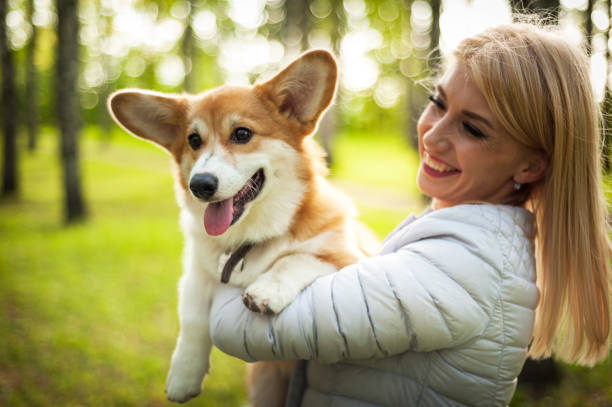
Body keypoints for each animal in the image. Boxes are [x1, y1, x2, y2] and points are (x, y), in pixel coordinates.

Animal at [109, 49, 378, 406]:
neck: (247, 238)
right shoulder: (196, 273)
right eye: (193, 140)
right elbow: (193, 319)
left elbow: (296, 258)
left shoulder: (350, 256)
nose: (200, 185)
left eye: (242, 134)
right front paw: (183, 376)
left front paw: (266, 290)